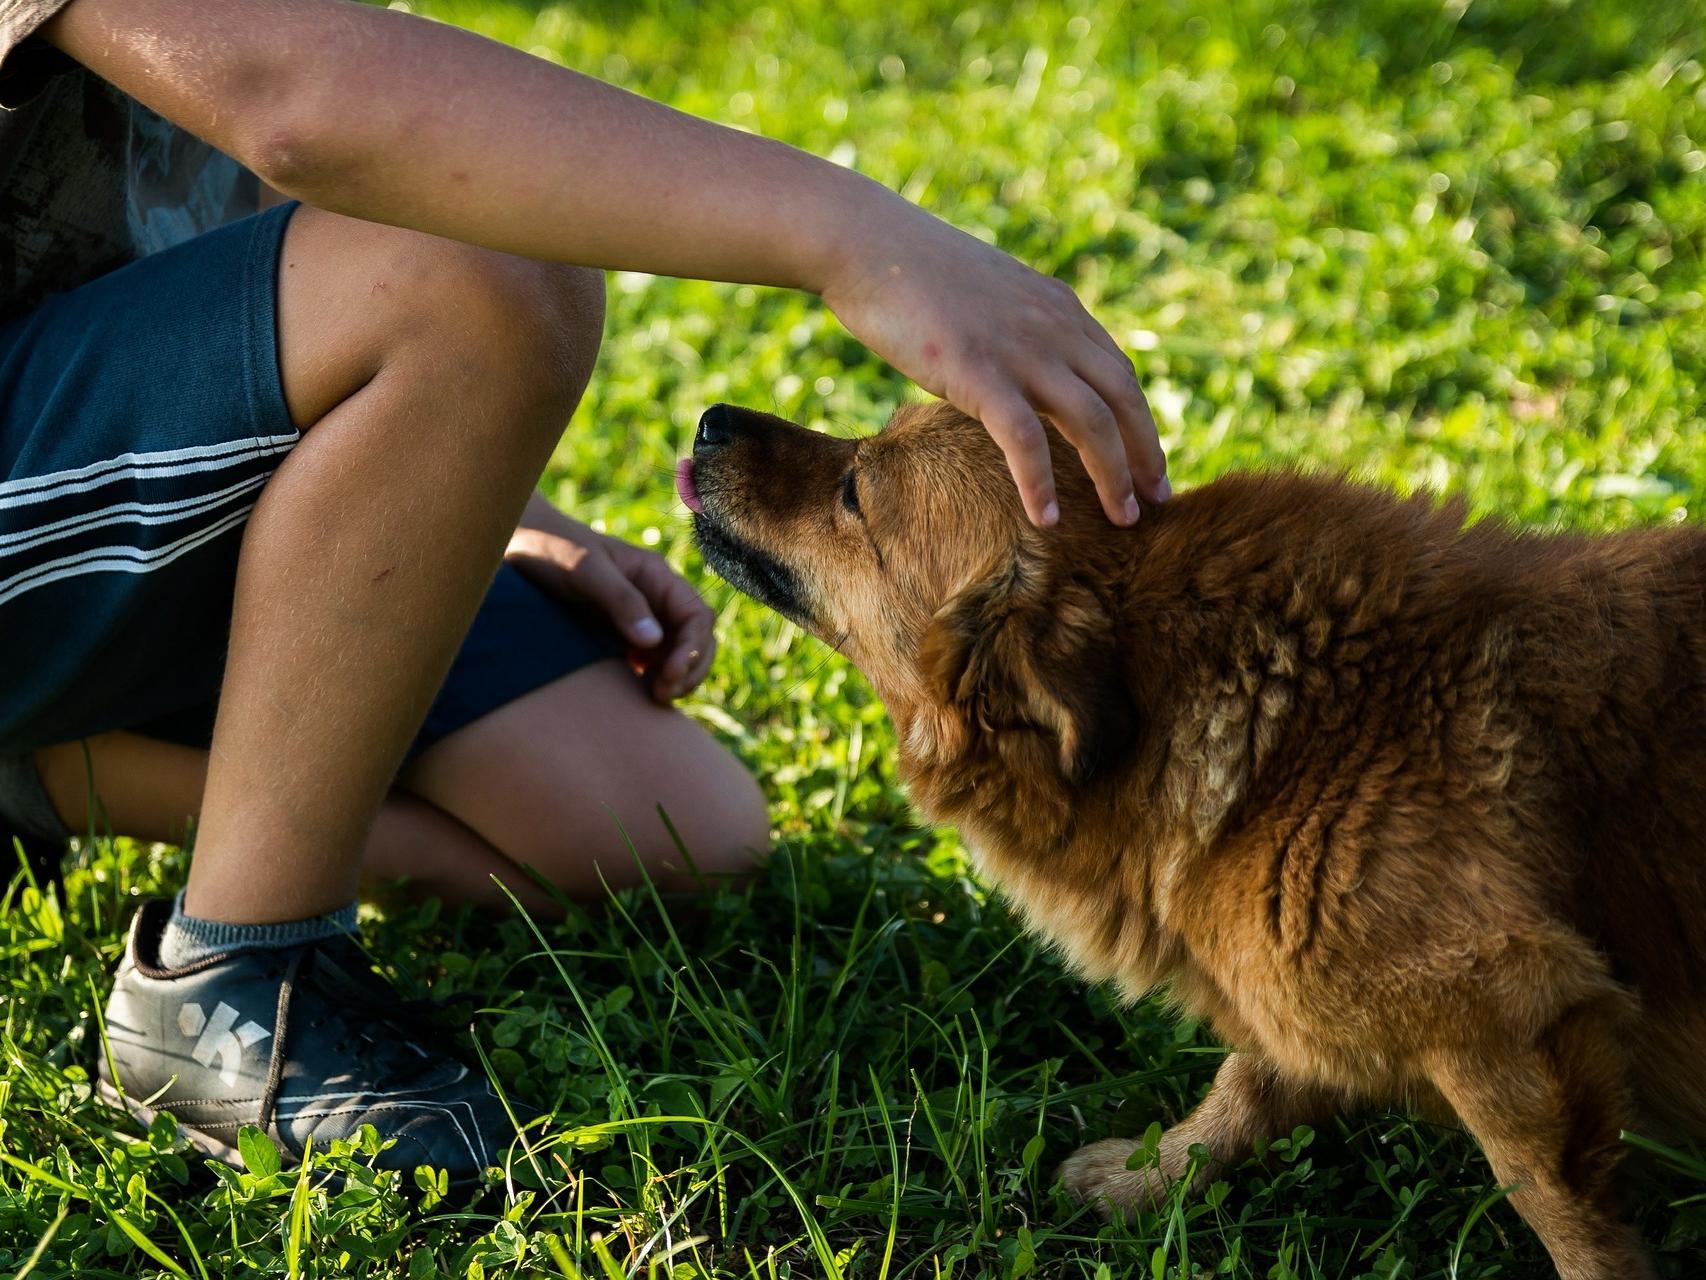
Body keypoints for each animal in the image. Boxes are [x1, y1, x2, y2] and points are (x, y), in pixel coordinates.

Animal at [678, 395, 1706, 1276]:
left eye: (856, 490)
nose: (711, 418)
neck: (1298, 722)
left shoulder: (1509, 1015)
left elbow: (1555, 1208)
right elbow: (1248, 1087)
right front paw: (1155, 1179)